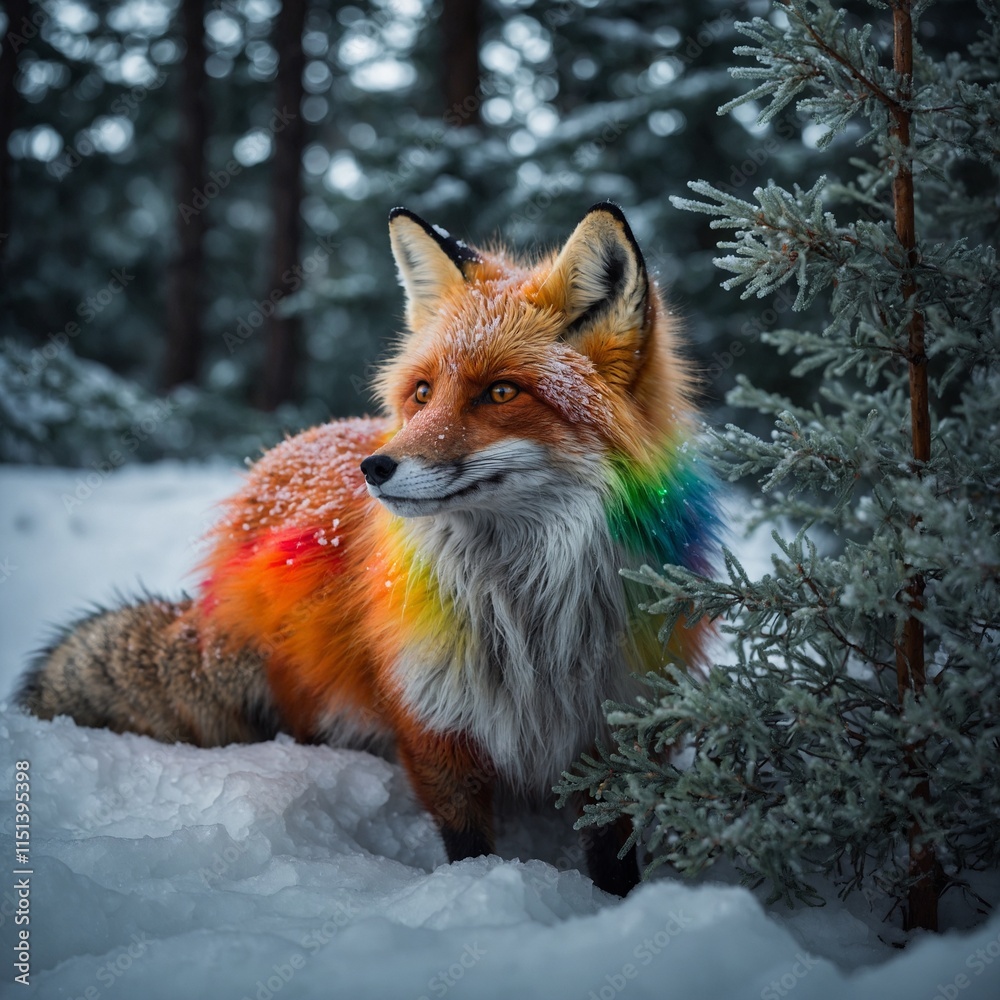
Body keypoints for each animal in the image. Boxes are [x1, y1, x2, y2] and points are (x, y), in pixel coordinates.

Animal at [18, 203, 718, 896]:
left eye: (501, 392)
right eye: (422, 393)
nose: (373, 469)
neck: (526, 620)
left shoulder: (619, 725)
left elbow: (613, 854)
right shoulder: (435, 723)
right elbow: (466, 843)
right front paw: (473, 891)